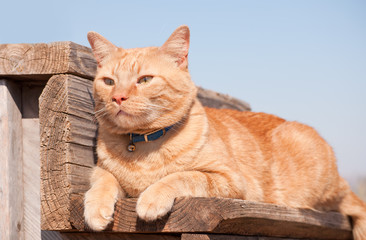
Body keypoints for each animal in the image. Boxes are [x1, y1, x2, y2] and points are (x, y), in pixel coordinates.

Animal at [84, 24, 366, 238]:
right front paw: (95, 210)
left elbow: (182, 176)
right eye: (108, 81)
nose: (118, 97)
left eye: (144, 80)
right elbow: (101, 180)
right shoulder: (103, 170)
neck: (143, 144)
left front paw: (151, 198)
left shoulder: (228, 180)